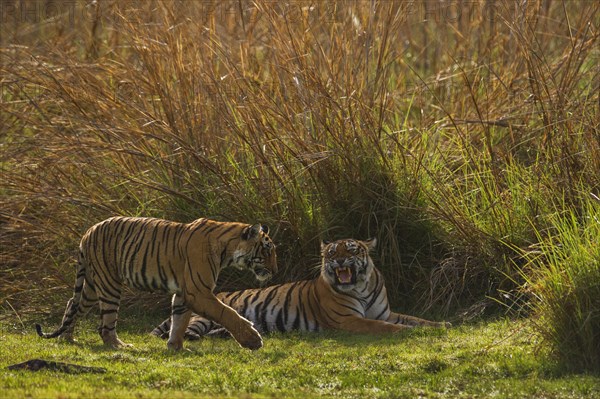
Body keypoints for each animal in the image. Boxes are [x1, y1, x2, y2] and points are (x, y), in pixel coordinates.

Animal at [37, 217, 278, 352]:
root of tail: (88, 232)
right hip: (109, 284)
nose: (275, 271)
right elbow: (227, 313)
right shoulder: (198, 291)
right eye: (266, 250)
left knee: (73, 304)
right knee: (105, 325)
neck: (227, 249)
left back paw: (68, 337)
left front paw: (176, 348)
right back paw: (119, 345)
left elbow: (179, 321)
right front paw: (253, 340)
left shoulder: (184, 293)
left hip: (92, 286)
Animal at [152, 238, 448, 340]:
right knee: (187, 331)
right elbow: (382, 327)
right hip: (203, 317)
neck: (361, 287)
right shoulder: (349, 320)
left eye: (351, 250)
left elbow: (416, 318)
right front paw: (405, 332)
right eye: (331, 253)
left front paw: (442, 324)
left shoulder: (386, 313)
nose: (338, 261)